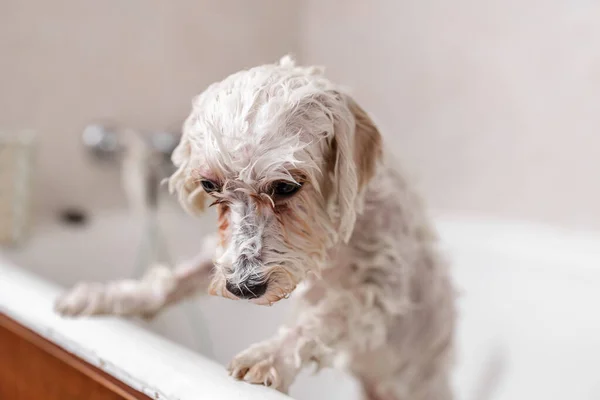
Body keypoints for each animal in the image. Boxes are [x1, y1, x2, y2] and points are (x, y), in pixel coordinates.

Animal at [58, 56, 458, 400]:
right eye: (209, 185)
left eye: (286, 187)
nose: (243, 287)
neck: (329, 236)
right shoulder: (226, 254)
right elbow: (170, 282)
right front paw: (107, 297)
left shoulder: (379, 286)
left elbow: (323, 318)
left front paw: (271, 355)